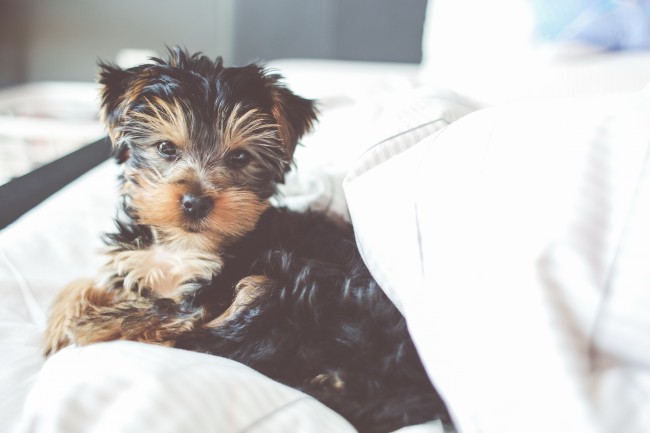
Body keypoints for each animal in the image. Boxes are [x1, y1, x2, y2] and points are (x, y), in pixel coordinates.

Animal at [44, 47, 450, 432]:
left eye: (239, 157)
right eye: (166, 149)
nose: (195, 202)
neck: (183, 245)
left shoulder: (216, 282)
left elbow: (169, 308)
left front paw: (92, 323)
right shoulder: (136, 260)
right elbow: (88, 281)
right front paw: (61, 322)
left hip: (288, 291)